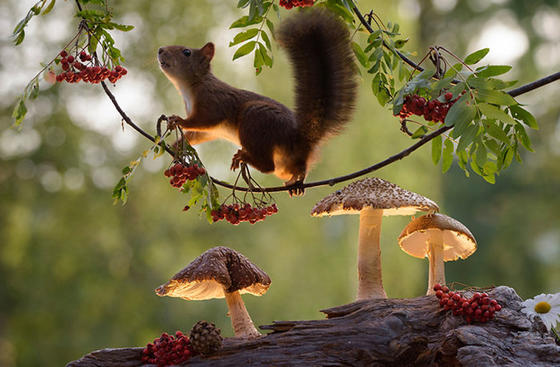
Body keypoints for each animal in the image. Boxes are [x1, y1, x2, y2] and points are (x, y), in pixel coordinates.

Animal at [156, 8, 358, 196]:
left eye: (186, 52)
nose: (160, 50)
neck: (190, 87)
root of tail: (298, 138)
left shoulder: (214, 101)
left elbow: (205, 120)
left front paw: (179, 121)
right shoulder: (210, 129)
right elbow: (199, 133)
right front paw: (176, 144)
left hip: (255, 118)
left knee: (268, 166)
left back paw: (244, 157)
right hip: (284, 161)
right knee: (292, 169)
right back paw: (295, 182)